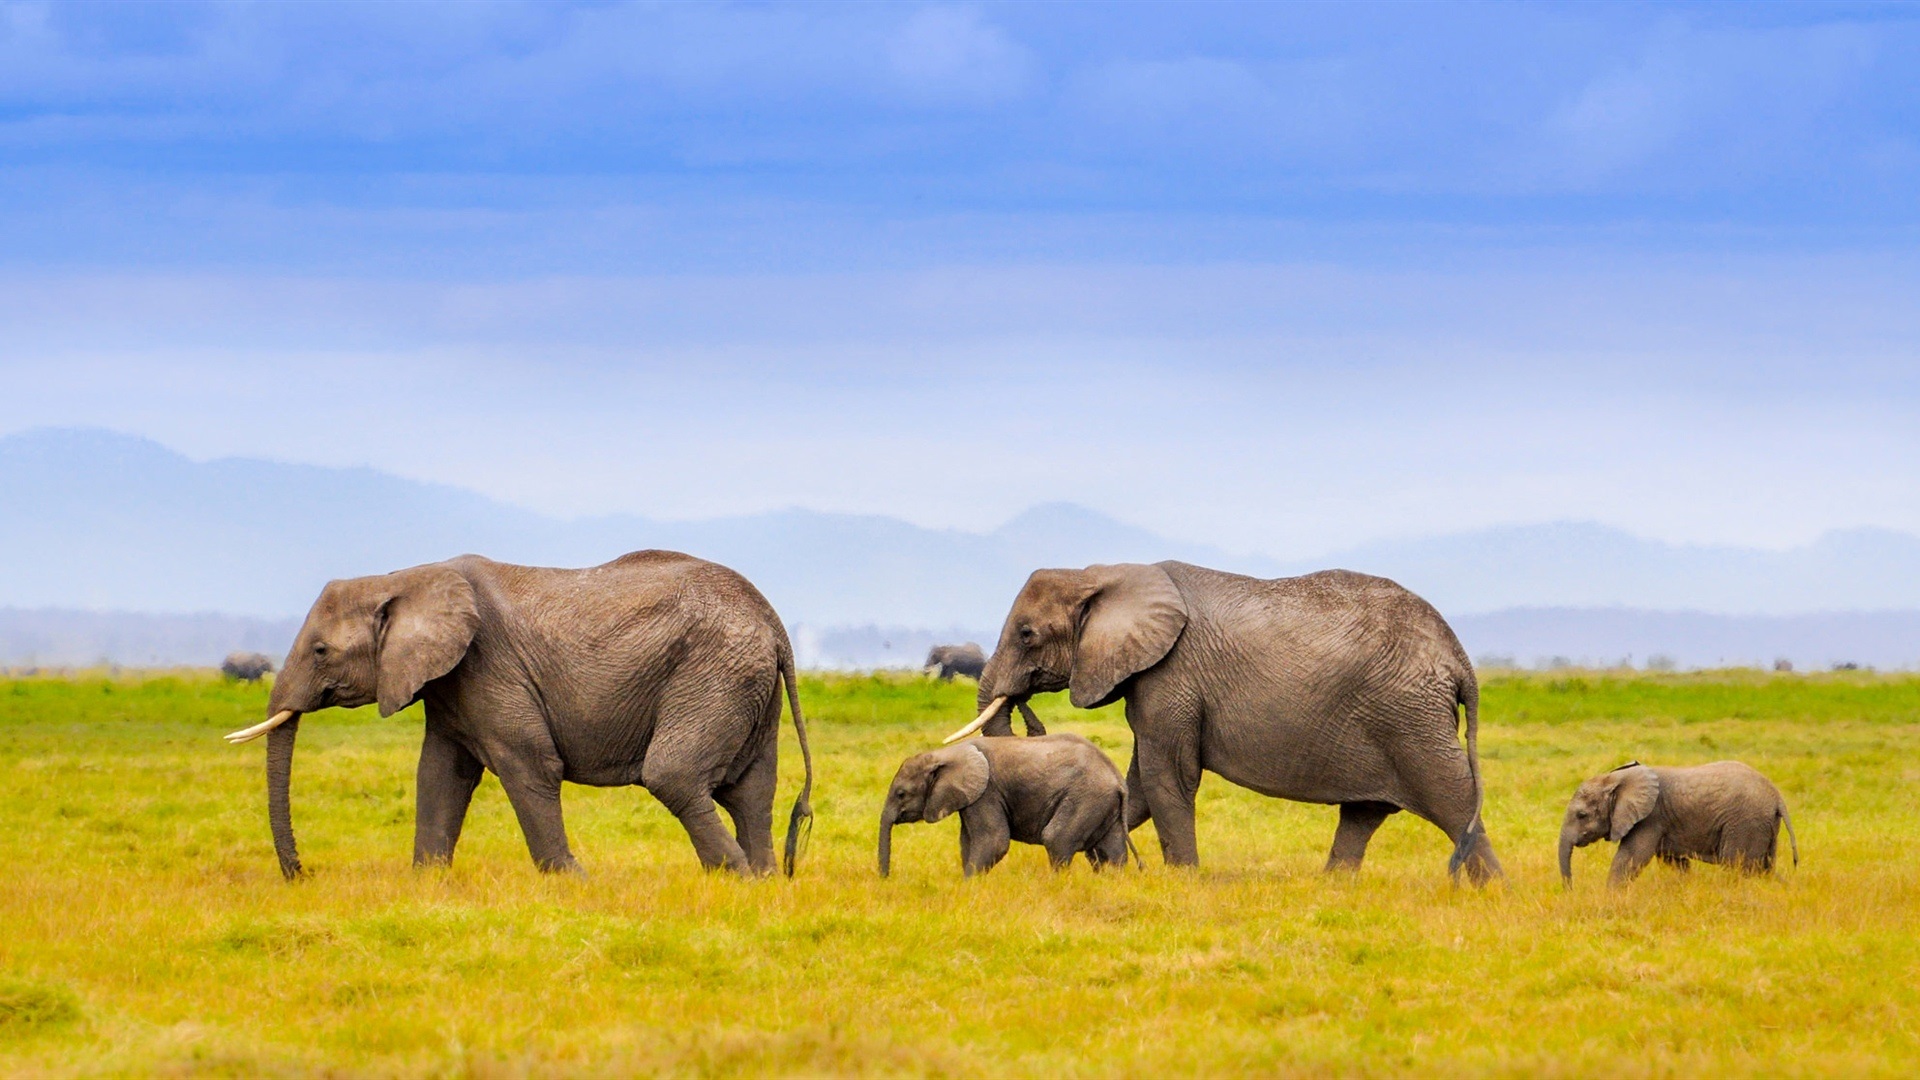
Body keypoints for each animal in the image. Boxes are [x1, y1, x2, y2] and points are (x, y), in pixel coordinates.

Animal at [223, 550, 814, 880]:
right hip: (745, 685)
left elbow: (529, 766)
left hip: (712, 673)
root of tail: (774, 623)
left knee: (674, 776)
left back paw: (736, 877)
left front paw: (573, 883)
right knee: (750, 790)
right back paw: (762, 881)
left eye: (321, 651)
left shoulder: (490, 667)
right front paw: (426, 883)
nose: (301, 874)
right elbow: (440, 775)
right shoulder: (452, 684)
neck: (404, 578)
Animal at [877, 734, 1135, 877]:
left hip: (1086, 797)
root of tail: (1117, 780)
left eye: (901, 794)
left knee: (1056, 839)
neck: (945, 753)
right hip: (1102, 803)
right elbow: (967, 843)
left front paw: (969, 885)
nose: (886, 878)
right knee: (1111, 851)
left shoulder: (987, 792)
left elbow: (994, 841)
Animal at [946, 562, 1501, 883]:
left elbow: (1165, 776)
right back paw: (1332, 888)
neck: (1103, 573)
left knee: (1453, 800)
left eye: (1026, 634)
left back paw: (1494, 892)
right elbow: (1138, 785)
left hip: (1411, 718)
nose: (1027, 714)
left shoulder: (1170, 676)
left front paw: (1182, 882)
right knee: (1364, 814)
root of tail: (1459, 659)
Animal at [1558, 761, 1798, 887]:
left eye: (1581, 815)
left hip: (1745, 823)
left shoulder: (1650, 818)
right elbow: (1675, 862)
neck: (1619, 778)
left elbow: (1630, 857)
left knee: (1739, 866)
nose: (1571, 890)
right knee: (1763, 868)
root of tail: (1777, 796)